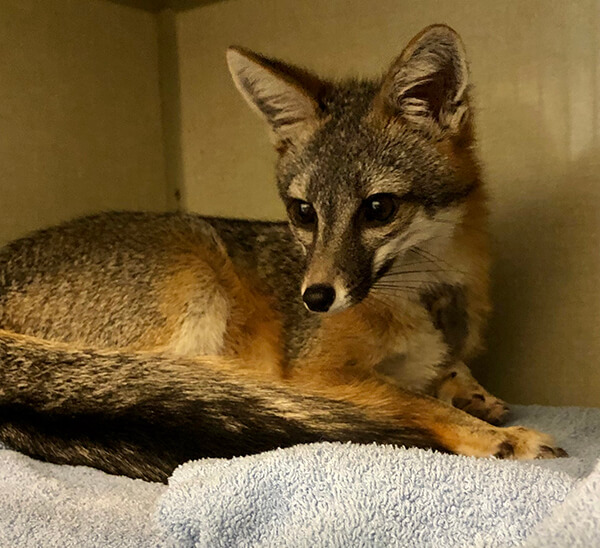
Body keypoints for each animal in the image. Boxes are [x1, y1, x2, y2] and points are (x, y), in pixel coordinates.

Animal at [0, 25, 564, 480]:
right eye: (303, 212)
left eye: (378, 208)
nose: (313, 298)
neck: (423, 295)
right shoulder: (319, 373)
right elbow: (416, 401)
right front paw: (495, 434)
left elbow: (447, 375)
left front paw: (471, 392)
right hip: (195, 279)